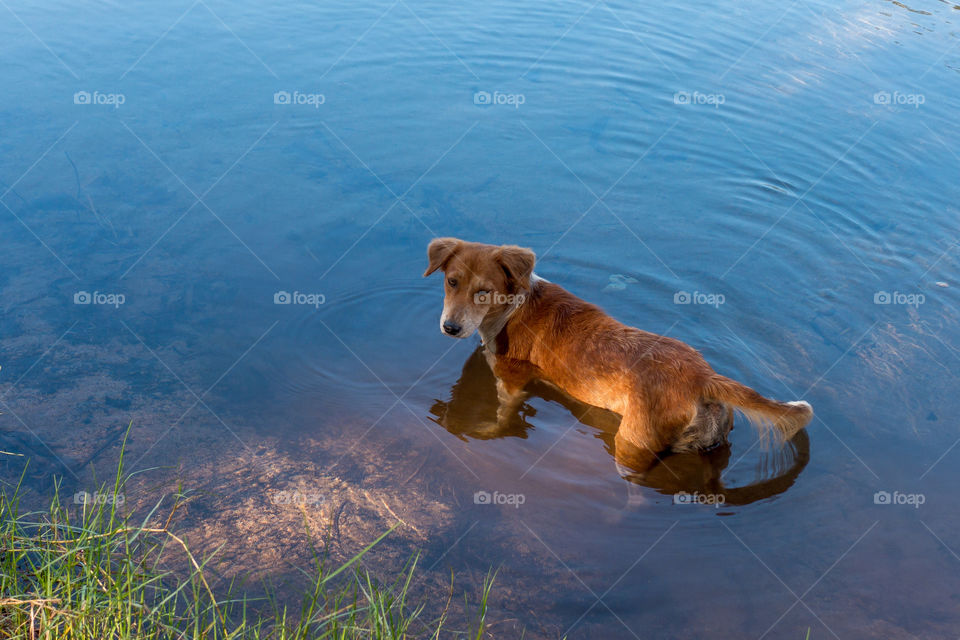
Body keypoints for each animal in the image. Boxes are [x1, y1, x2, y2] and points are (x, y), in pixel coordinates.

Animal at [424, 238, 812, 472]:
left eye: (484, 292)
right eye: (452, 282)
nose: (450, 328)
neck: (513, 305)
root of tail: (703, 376)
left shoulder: (512, 382)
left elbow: (504, 414)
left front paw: (491, 427)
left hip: (632, 444)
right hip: (705, 441)